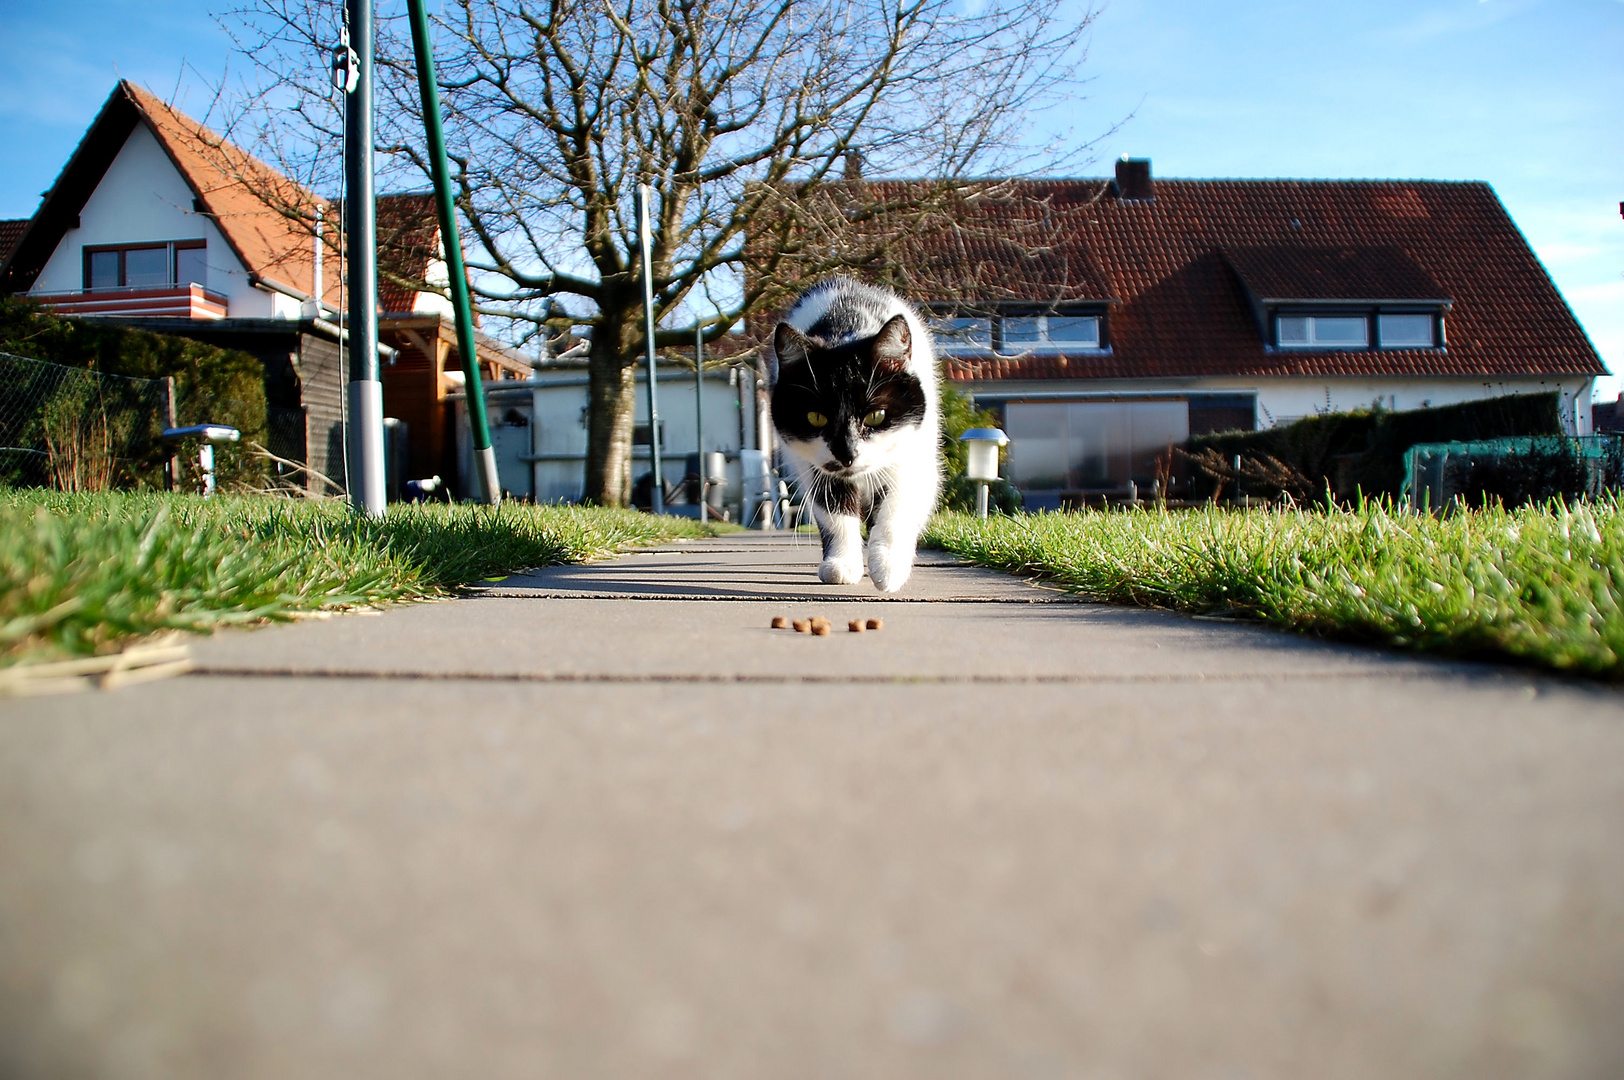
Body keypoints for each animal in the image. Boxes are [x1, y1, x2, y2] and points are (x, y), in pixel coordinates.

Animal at [769, 277, 941, 591]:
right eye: (815, 417)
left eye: (876, 415)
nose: (846, 452)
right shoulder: (816, 469)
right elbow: (834, 513)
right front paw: (843, 564)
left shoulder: (909, 456)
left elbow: (896, 508)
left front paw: (888, 566)